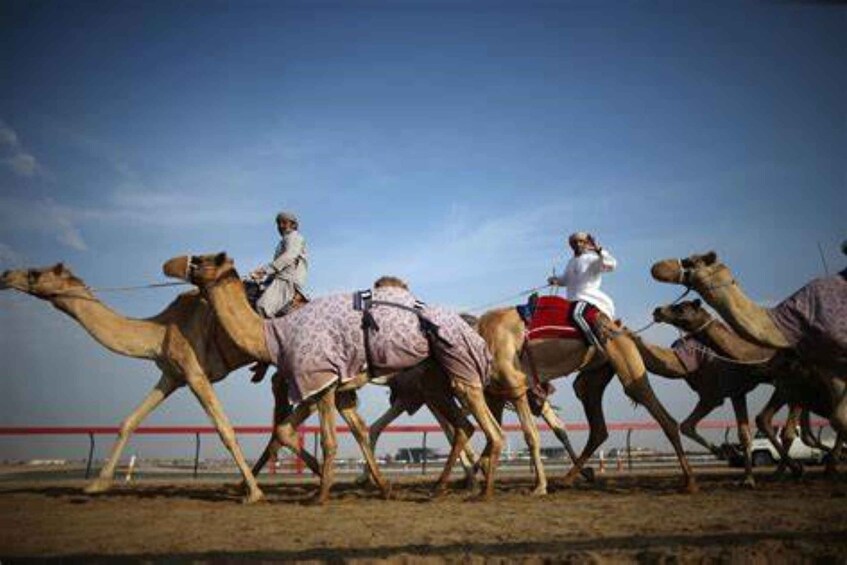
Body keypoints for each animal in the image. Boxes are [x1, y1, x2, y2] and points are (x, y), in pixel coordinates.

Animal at [163, 253, 506, 500]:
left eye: (205, 260)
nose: (172, 265)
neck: (275, 334)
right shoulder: (336, 388)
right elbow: (342, 429)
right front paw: (380, 487)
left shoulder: (316, 381)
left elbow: (318, 437)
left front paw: (320, 493)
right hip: (435, 383)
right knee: (463, 427)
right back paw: (447, 487)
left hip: (448, 378)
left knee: (480, 428)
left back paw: (479, 489)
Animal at [476, 302, 704, 492]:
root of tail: (622, 329)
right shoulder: (495, 394)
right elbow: (492, 435)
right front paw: (481, 477)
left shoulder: (515, 386)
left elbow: (527, 435)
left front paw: (539, 487)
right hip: (595, 374)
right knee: (595, 421)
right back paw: (569, 478)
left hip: (623, 357)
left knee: (655, 408)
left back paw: (690, 482)